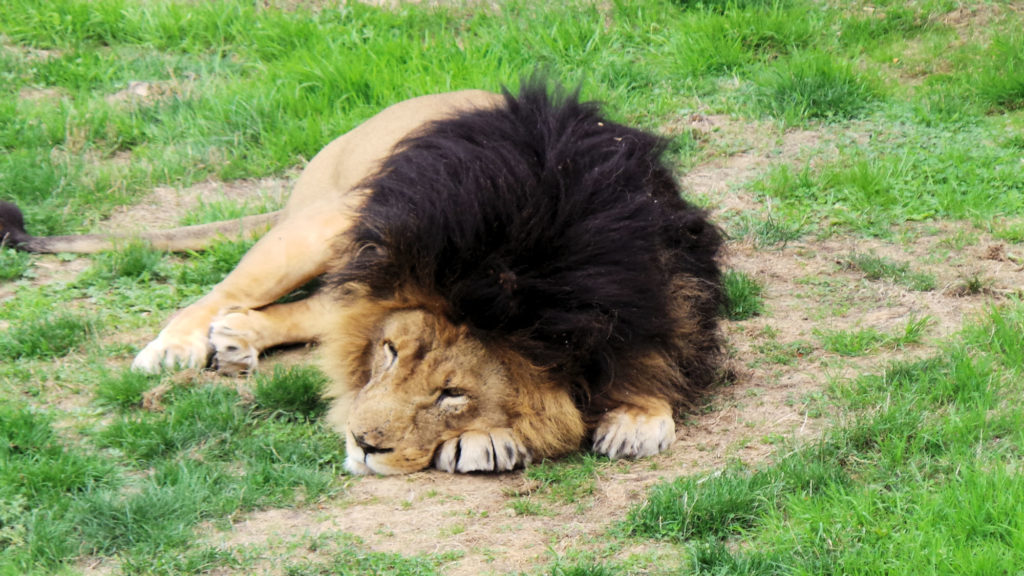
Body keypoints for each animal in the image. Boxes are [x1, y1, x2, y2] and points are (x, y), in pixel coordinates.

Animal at [1, 83, 724, 475]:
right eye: (391, 353)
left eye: (452, 392)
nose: (361, 443)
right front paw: (488, 442)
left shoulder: (666, 289)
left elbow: (658, 354)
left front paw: (637, 414)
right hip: (330, 224)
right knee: (222, 292)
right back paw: (174, 347)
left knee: (297, 312)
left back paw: (235, 341)